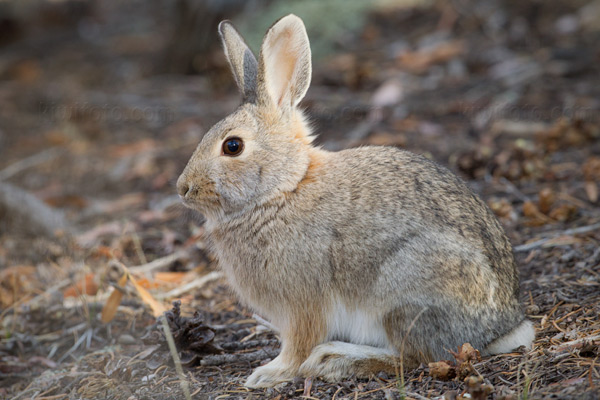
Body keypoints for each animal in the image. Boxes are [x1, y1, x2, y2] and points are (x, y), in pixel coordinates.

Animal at [175, 14, 536, 388]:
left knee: (415, 356)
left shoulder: (302, 302)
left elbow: (299, 344)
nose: (183, 188)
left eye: (233, 146)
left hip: (402, 294)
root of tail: (499, 329)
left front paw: (269, 373)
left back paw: (334, 359)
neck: (283, 190)